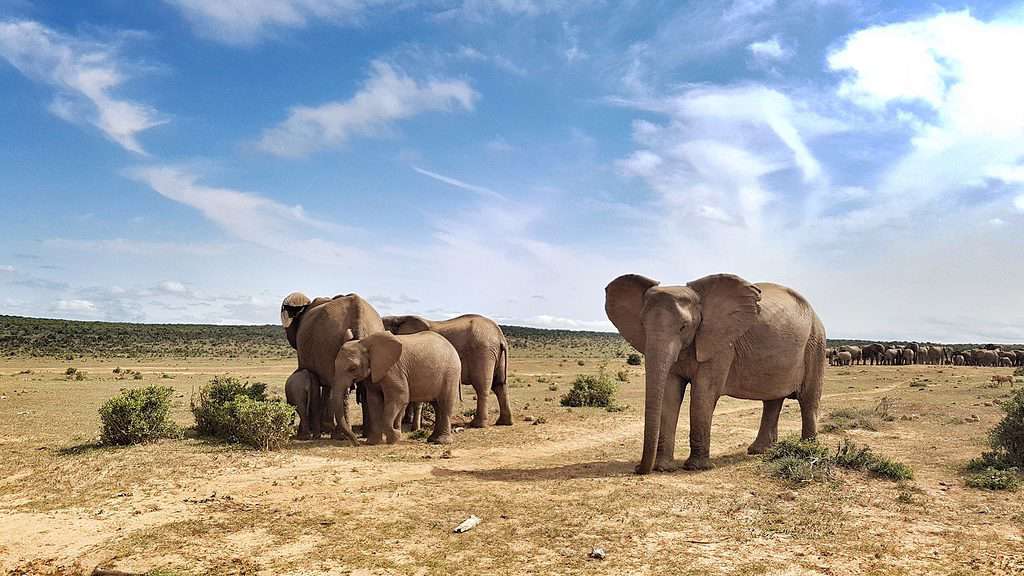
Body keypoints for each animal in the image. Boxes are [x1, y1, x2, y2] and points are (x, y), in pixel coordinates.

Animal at [380, 313, 512, 426]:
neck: (398, 318)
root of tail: (500, 337)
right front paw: (407, 421)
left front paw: (406, 422)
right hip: (495, 355)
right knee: (500, 385)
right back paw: (504, 422)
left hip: (483, 352)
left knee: (482, 387)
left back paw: (477, 425)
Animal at [602, 270, 827, 473]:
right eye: (642, 324)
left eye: (684, 327)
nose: (638, 468)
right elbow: (670, 394)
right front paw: (664, 468)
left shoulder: (721, 344)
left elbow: (703, 393)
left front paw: (696, 468)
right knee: (772, 400)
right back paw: (758, 451)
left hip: (816, 343)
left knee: (808, 399)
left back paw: (807, 449)